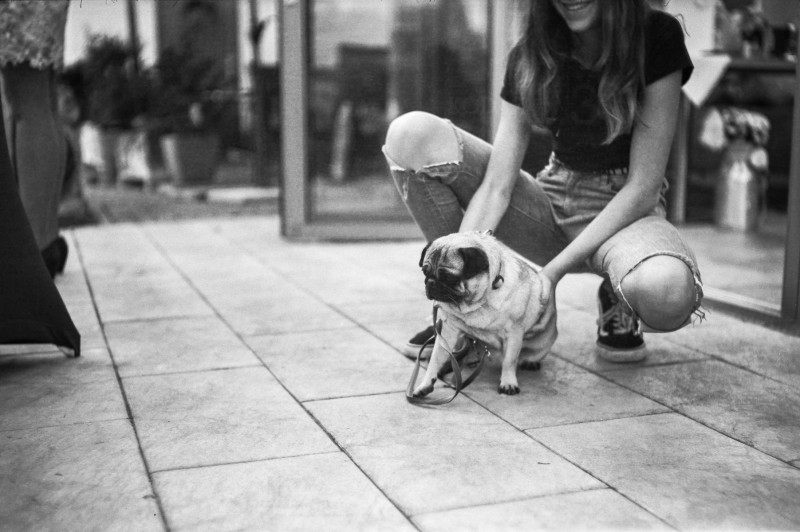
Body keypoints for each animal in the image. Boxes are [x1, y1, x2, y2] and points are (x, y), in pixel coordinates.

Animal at [412, 231, 556, 396]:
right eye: (425, 272)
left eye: (449, 277)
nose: (430, 282)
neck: (477, 303)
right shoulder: (448, 332)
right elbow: (436, 358)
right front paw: (426, 383)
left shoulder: (514, 332)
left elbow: (509, 361)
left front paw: (508, 382)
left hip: (542, 344)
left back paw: (530, 362)